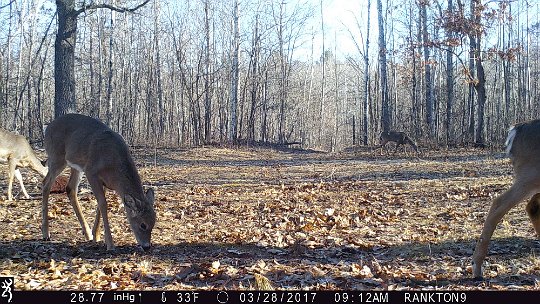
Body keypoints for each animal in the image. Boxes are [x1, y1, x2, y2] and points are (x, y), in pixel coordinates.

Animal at [41, 113, 156, 251]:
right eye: (143, 225)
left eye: (154, 222)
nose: (147, 246)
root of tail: (48, 127)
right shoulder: (92, 172)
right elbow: (103, 204)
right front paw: (110, 244)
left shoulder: (104, 182)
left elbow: (99, 207)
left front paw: (97, 236)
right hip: (57, 157)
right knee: (46, 184)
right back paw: (46, 233)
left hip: (75, 165)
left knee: (70, 188)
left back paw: (87, 233)